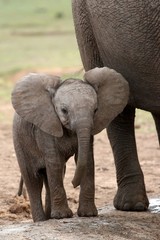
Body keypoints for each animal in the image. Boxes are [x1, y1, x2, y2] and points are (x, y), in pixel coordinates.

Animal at [11, 67, 129, 221]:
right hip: (19, 142)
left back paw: (49, 217)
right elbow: (54, 162)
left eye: (95, 110)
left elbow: (87, 161)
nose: (73, 183)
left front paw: (88, 214)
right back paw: (41, 220)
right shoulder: (46, 127)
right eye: (64, 111)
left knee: (50, 177)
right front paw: (62, 216)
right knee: (33, 180)